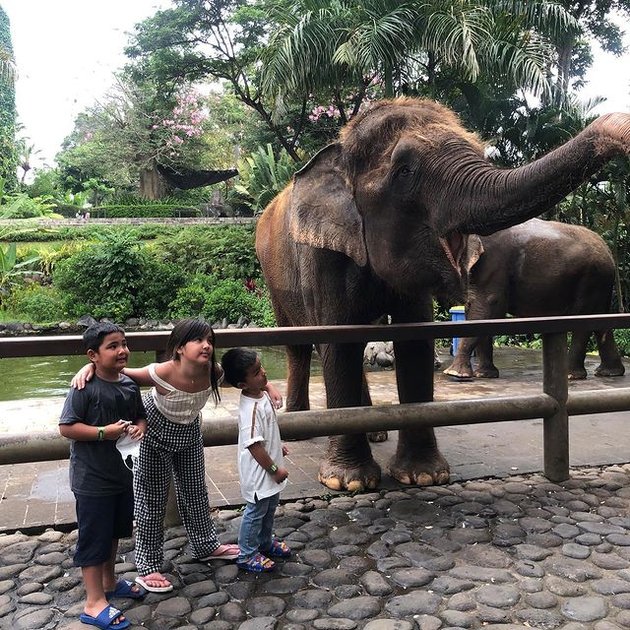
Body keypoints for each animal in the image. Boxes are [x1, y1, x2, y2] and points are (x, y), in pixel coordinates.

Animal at [444, 220, 628, 382]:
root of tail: (608, 251)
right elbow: (476, 312)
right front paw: (484, 375)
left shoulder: (494, 264)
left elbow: (488, 308)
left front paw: (454, 374)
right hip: (600, 282)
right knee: (601, 320)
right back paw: (609, 373)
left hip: (591, 278)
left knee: (583, 320)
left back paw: (571, 375)